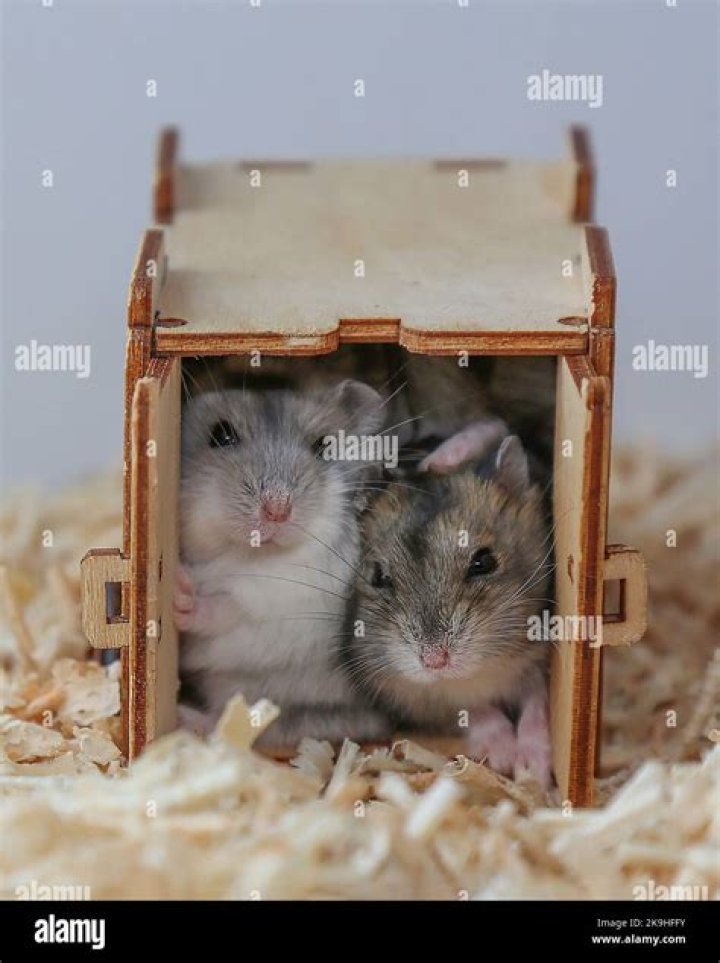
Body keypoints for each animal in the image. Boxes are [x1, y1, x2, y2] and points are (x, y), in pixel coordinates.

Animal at [175, 378, 394, 746]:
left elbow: (226, 609)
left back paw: (189, 719)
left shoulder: (274, 604)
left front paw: (182, 596)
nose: (277, 510)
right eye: (221, 435)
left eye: (324, 446)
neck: (245, 554)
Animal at [344, 431, 554, 785]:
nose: (435, 662)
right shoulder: (415, 697)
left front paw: (532, 772)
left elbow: (536, 702)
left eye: (484, 561)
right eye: (378, 576)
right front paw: (503, 758)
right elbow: (472, 709)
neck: (481, 672)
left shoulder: (538, 660)